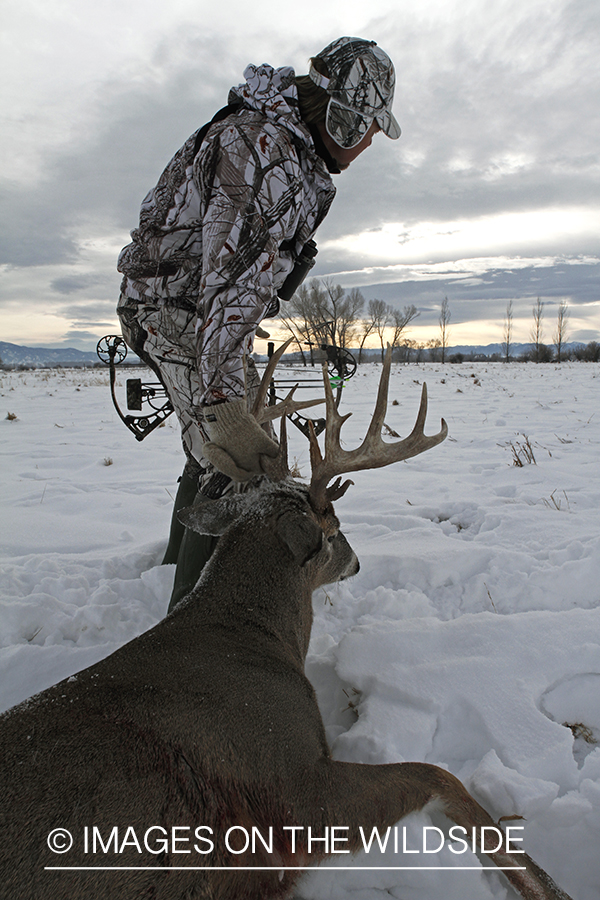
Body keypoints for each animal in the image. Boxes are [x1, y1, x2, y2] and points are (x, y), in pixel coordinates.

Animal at [0, 345, 574, 900]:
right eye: (335, 528)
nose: (358, 561)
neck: (256, 637)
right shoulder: (292, 782)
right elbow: (439, 773)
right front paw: (542, 883)